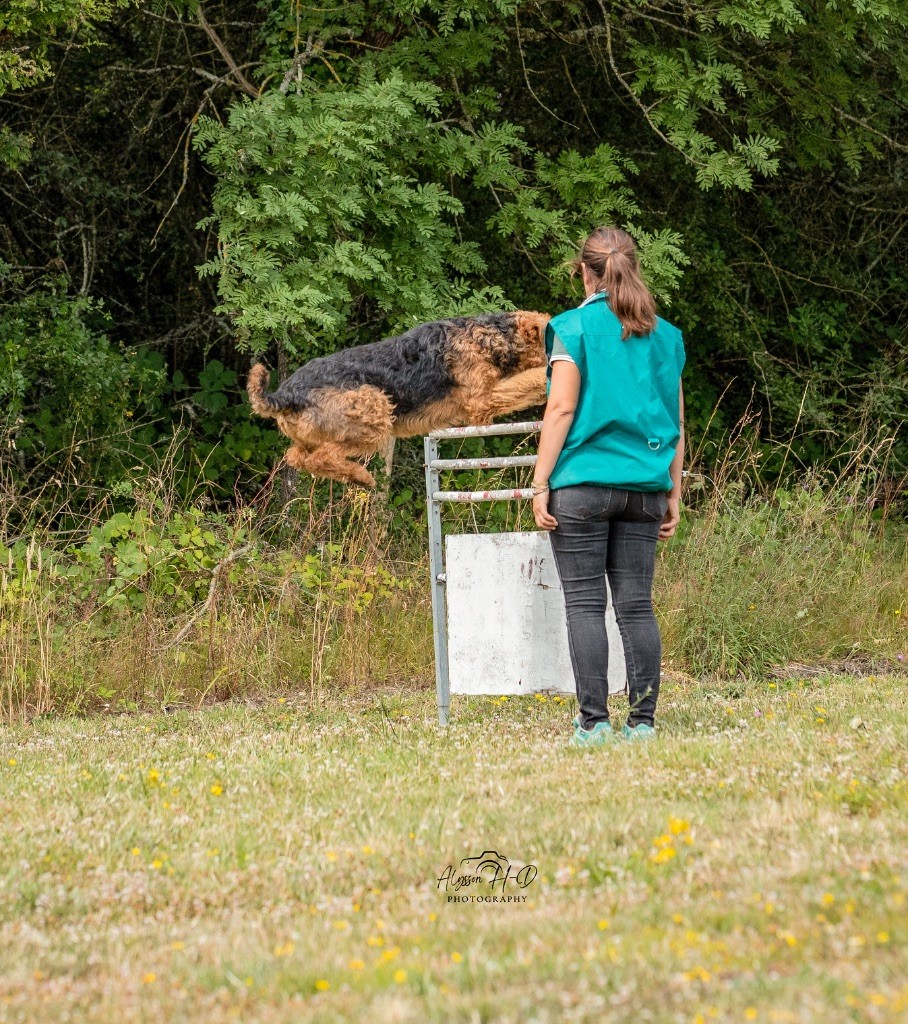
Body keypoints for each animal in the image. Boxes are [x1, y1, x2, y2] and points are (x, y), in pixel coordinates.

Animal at [244, 307, 548, 487]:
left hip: (309, 438)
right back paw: (363, 477)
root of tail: (284, 394)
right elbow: (529, 379)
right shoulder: (481, 400)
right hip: (374, 411)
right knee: (323, 456)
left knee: (297, 457)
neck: (491, 337)